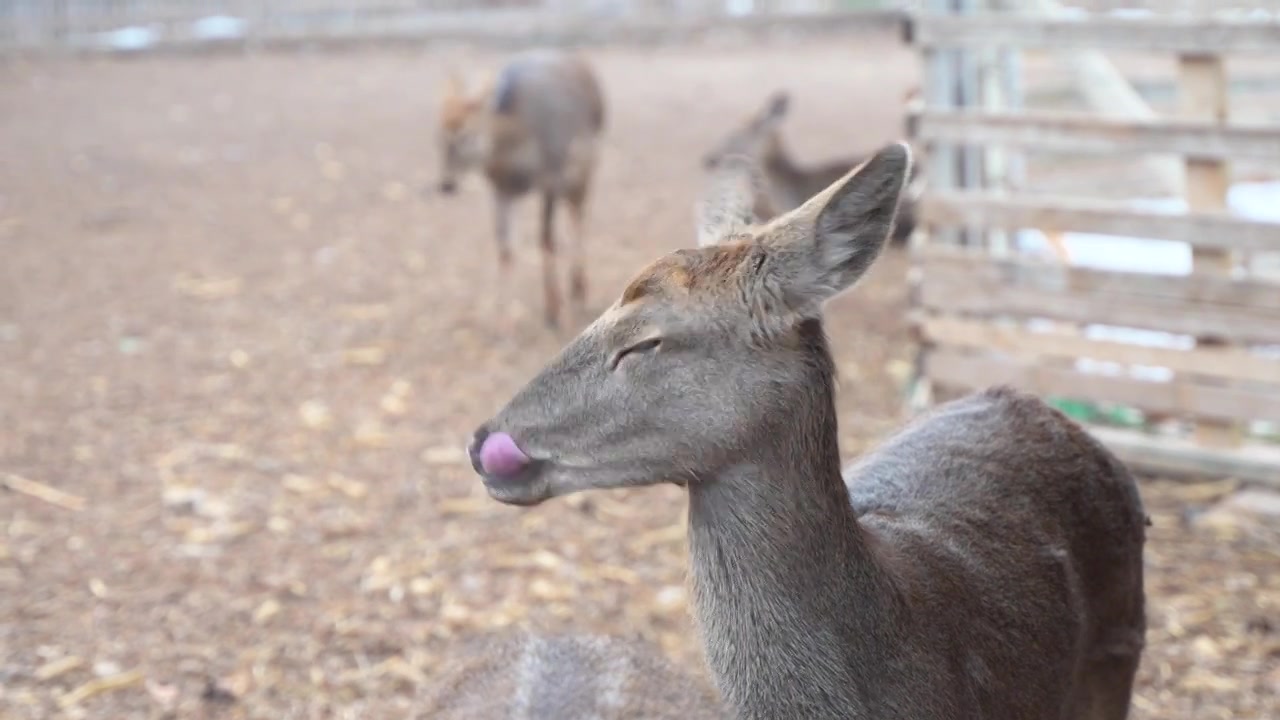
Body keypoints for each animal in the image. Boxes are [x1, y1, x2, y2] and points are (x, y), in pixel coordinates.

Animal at [437, 49, 606, 327]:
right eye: (438, 137)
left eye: (466, 136)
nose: (446, 185)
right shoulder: (501, 190)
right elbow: (505, 249)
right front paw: (502, 320)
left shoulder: (552, 174)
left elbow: (547, 240)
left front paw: (556, 311)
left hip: (586, 166)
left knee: (579, 216)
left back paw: (579, 290)